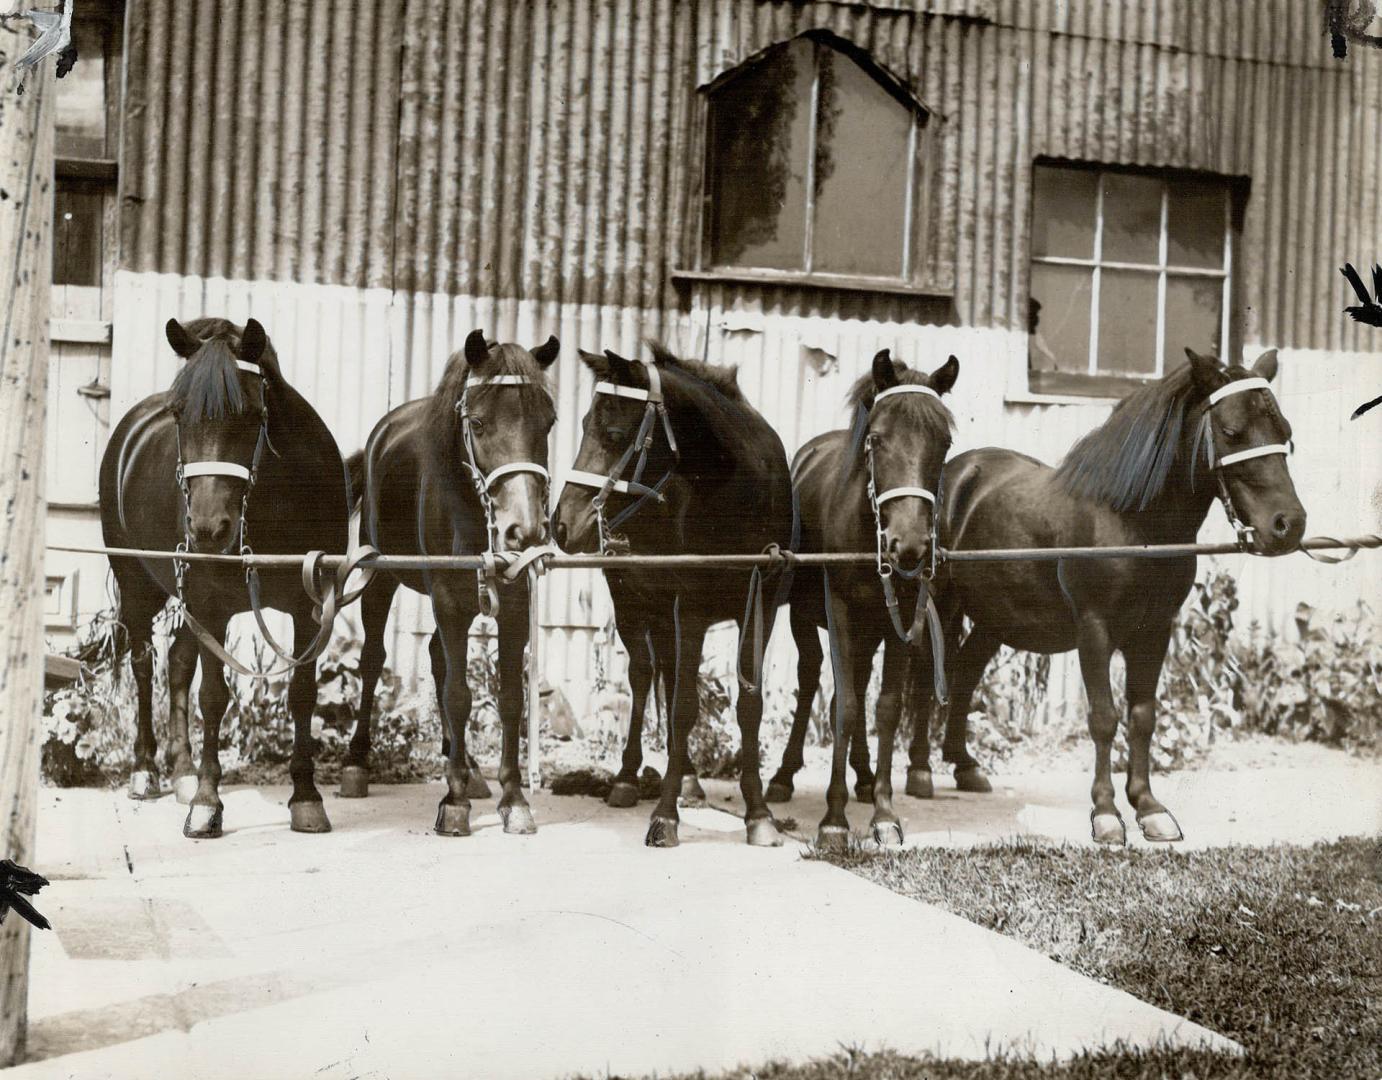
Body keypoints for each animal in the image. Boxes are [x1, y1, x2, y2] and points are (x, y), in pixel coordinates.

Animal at [98, 316, 351, 840]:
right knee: (143, 663)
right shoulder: (211, 606)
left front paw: (306, 797)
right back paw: (145, 770)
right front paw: (207, 804)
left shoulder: (311, 607)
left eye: (251, 414)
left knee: (176, 661)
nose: (208, 529)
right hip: (138, 586)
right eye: (179, 416)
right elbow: (213, 698)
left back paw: (181, 771)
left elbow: (302, 695)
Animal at [348, 329, 558, 835]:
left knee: (437, 658)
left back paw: (461, 762)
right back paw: (357, 763)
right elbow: (459, 695)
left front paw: (512, 797)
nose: (524, 532)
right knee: (372, 660)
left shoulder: (513, 607)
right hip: (378, 578)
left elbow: (508, 698)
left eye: (548, 423)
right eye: (478, 423)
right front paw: (455, 801)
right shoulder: (446, 598)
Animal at [547, 341, 790, 846]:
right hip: (636, 605)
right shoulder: (690, 608)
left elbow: (749, 706)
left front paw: (759, 814)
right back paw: (627, 778)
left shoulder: (761, 606)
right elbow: (681, 706)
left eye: (615, 433)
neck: (735, 494)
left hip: (665, 610)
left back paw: (690, 779)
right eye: (583, 425)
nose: (563, 524)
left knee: (666, 675)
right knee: (645, 676)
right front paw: (665, 814)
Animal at [906, 347, 1304, 840]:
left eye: (1285, 432)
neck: (1132, 522)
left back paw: (965, 766)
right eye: (1231, 431)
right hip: (941, 604)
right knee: (928, 677)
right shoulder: (1094, 630)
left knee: (964, 674)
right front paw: (1106, 813)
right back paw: (920, 771)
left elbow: (1143, 716)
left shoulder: (1154, 631)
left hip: (996, 617)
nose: (1288, 525)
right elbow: (1104, 717)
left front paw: (1148, 807)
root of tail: (956, 474)